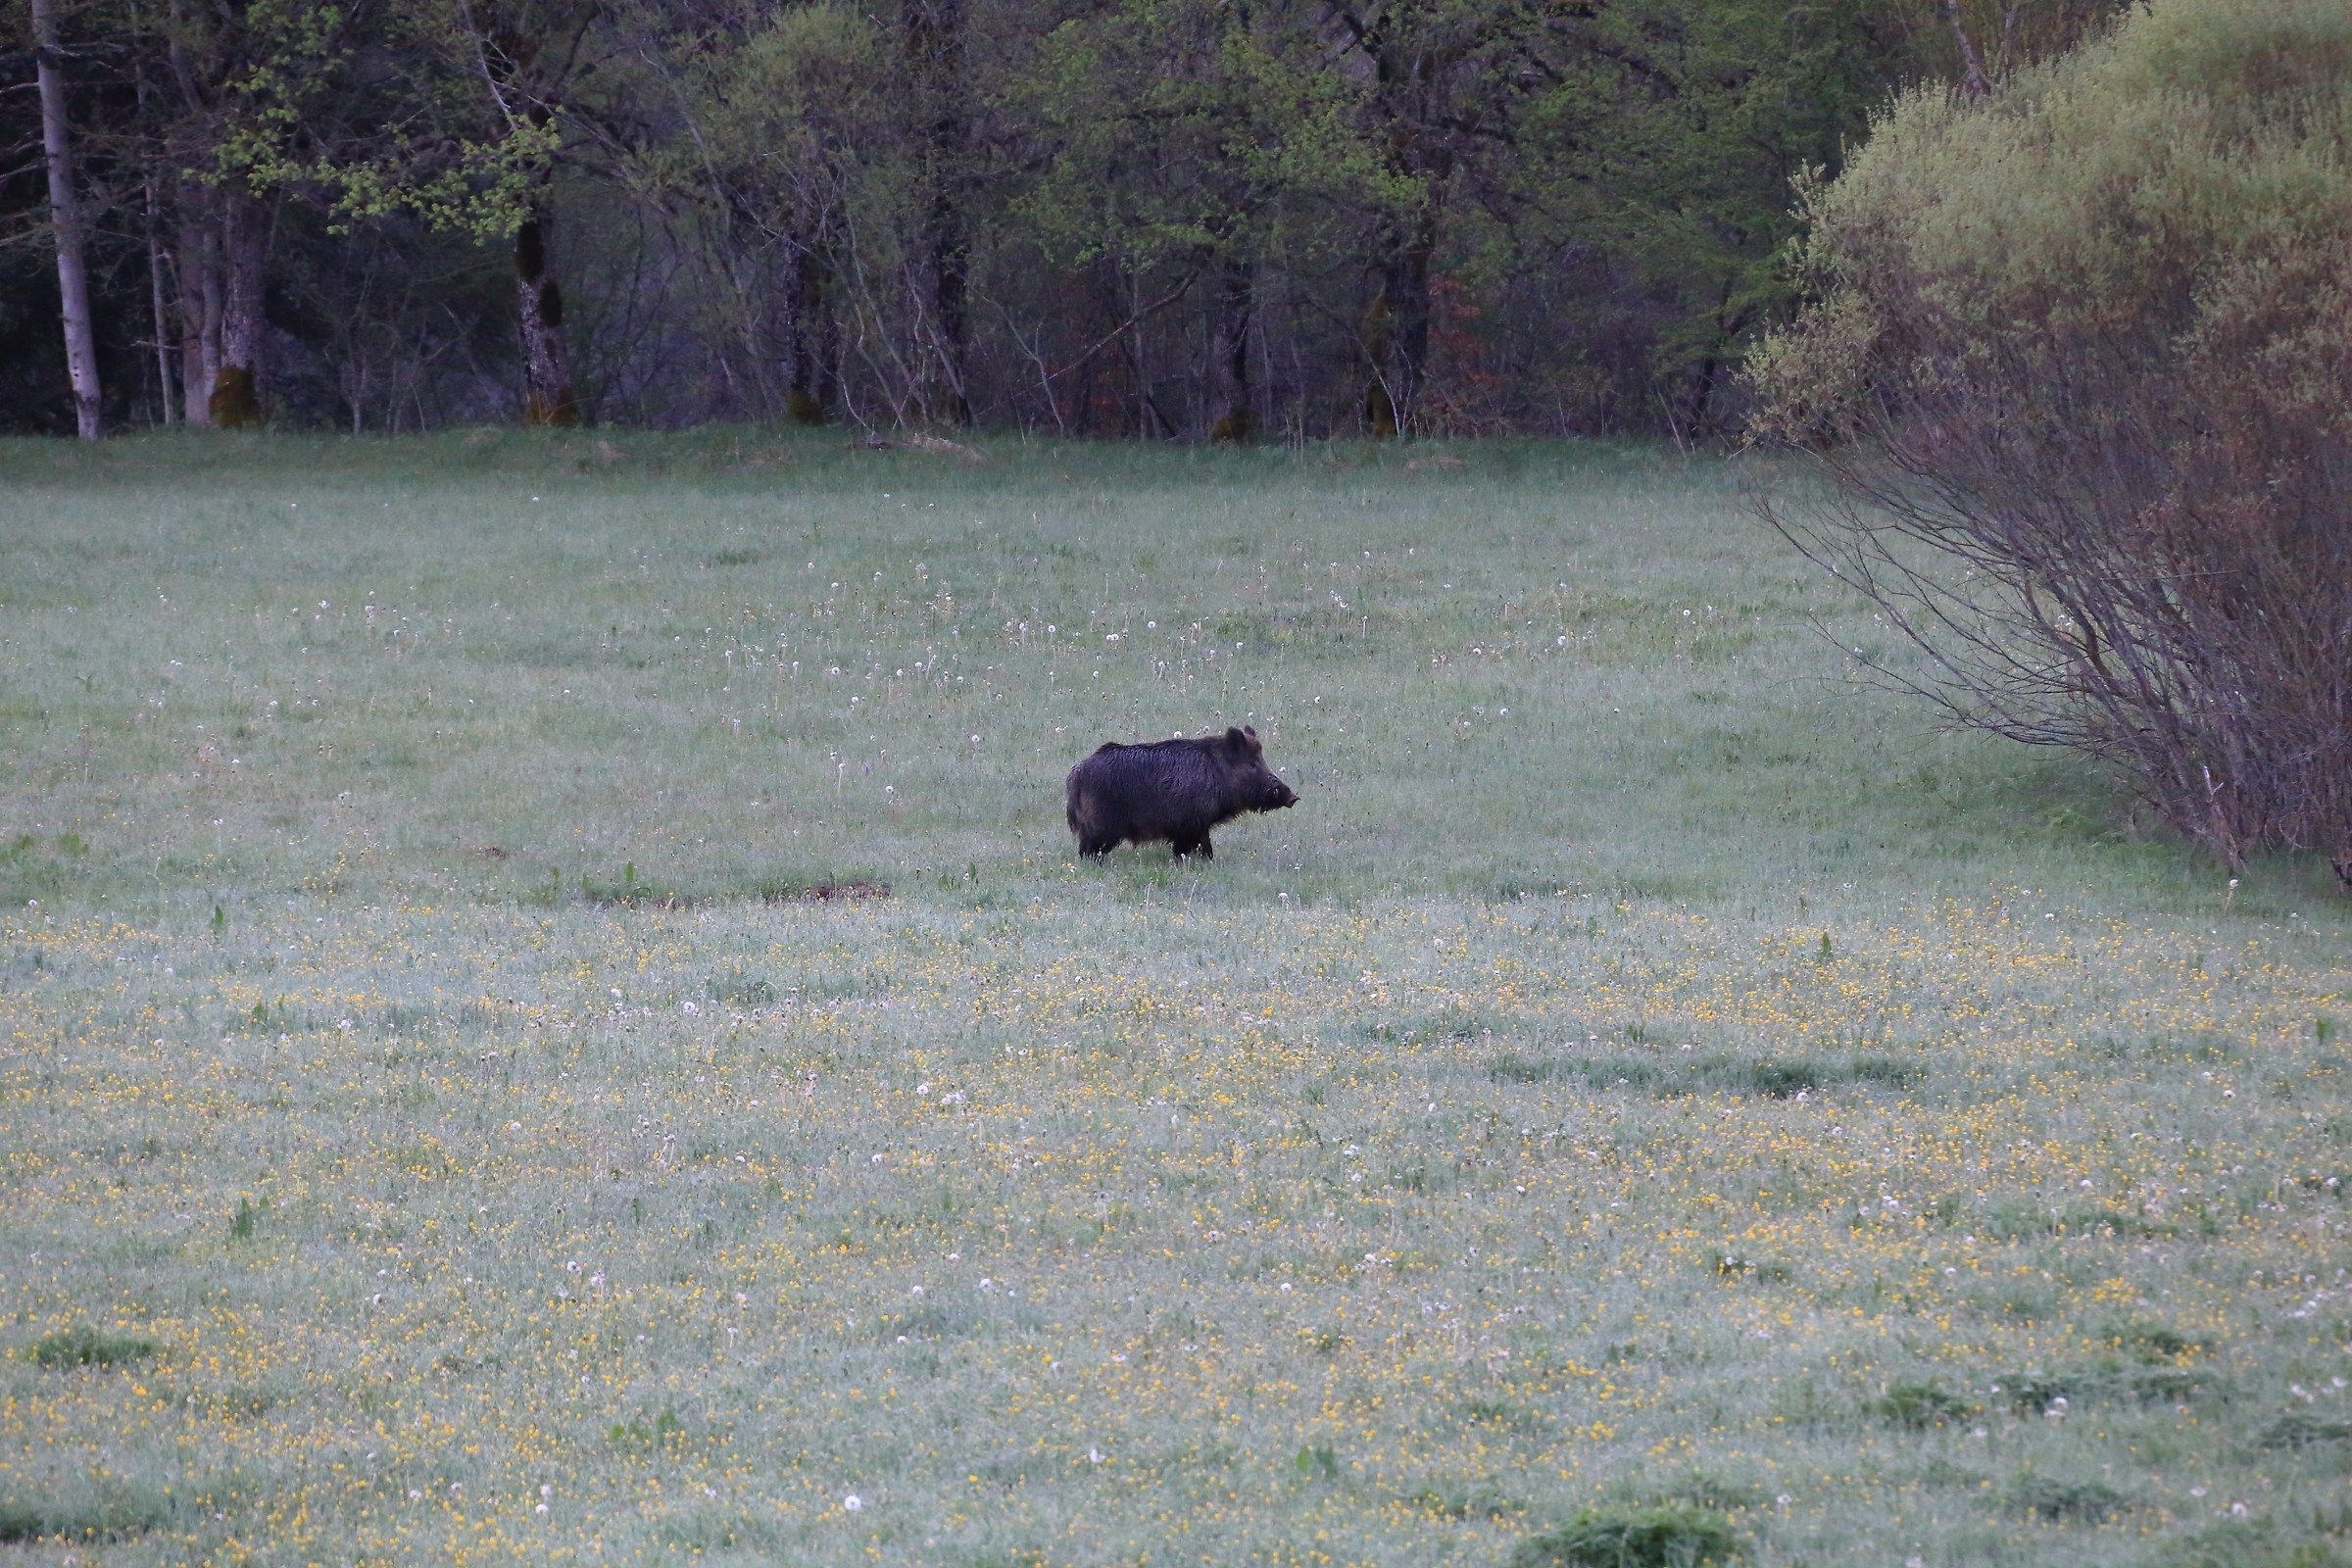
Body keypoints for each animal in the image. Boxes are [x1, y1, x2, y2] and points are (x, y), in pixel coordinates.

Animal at [1065, 725, 1298, 860]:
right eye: (1252, 764)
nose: (1293, 797)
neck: (1218, 773)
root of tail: (1075, 775)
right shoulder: (1193, 824)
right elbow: (1197, 849)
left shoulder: (1195, 826)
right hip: (1101, 826)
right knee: (1088, 850)